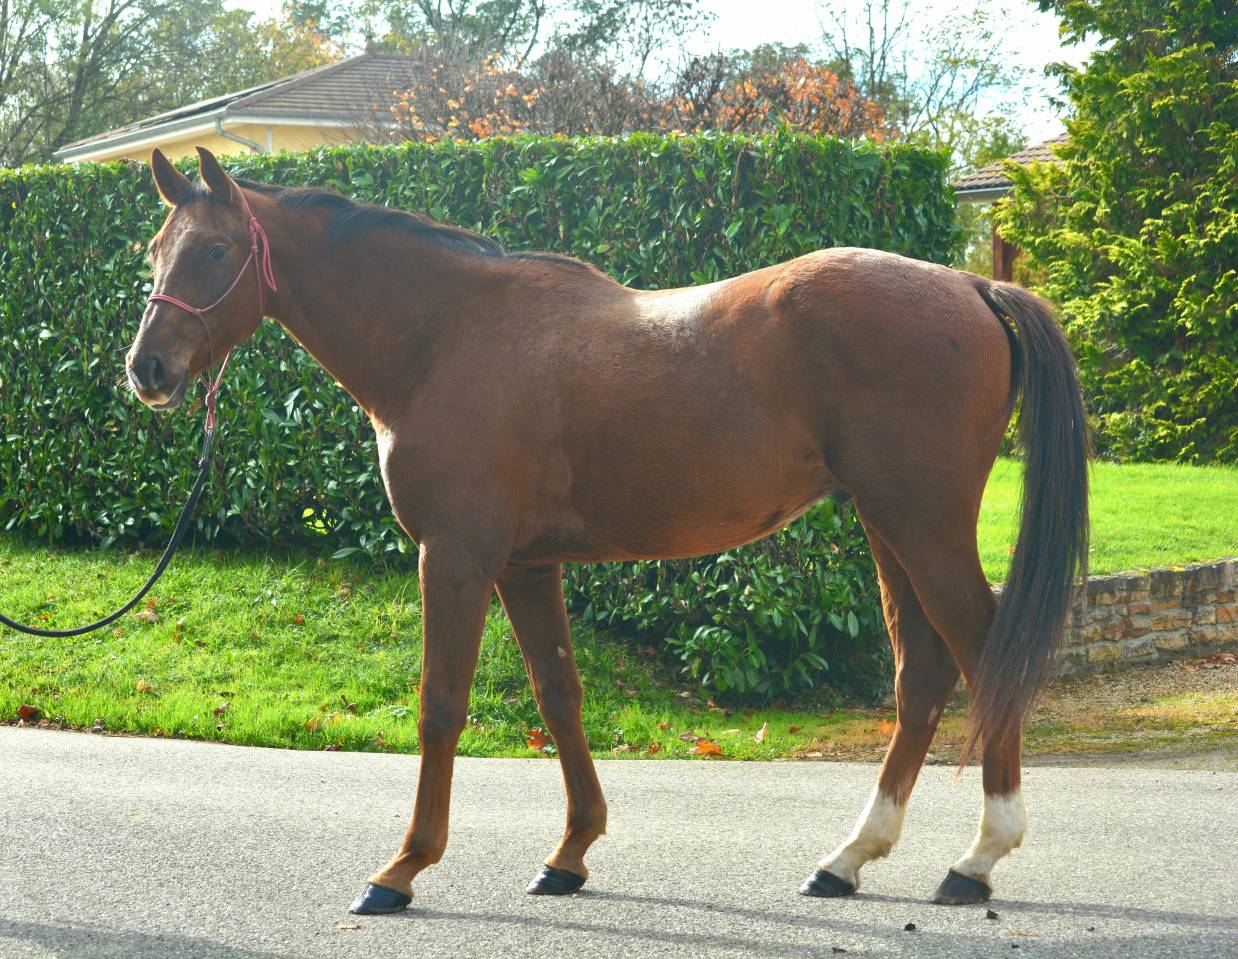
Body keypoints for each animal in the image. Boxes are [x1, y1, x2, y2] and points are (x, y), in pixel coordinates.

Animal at [127, 146, 1089, 915]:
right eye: (154, 252)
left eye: (215, 250)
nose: (149, 368)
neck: (445, 336)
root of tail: (971, 283)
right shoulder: (525, 565)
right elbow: (560, 694)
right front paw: (570, 853)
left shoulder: (456, 557)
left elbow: (442, 704)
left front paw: (402, 868)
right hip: (887, 526)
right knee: (921, 672)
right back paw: (848, 858)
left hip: (922, 524)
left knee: (981, 651)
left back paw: (978, 856)